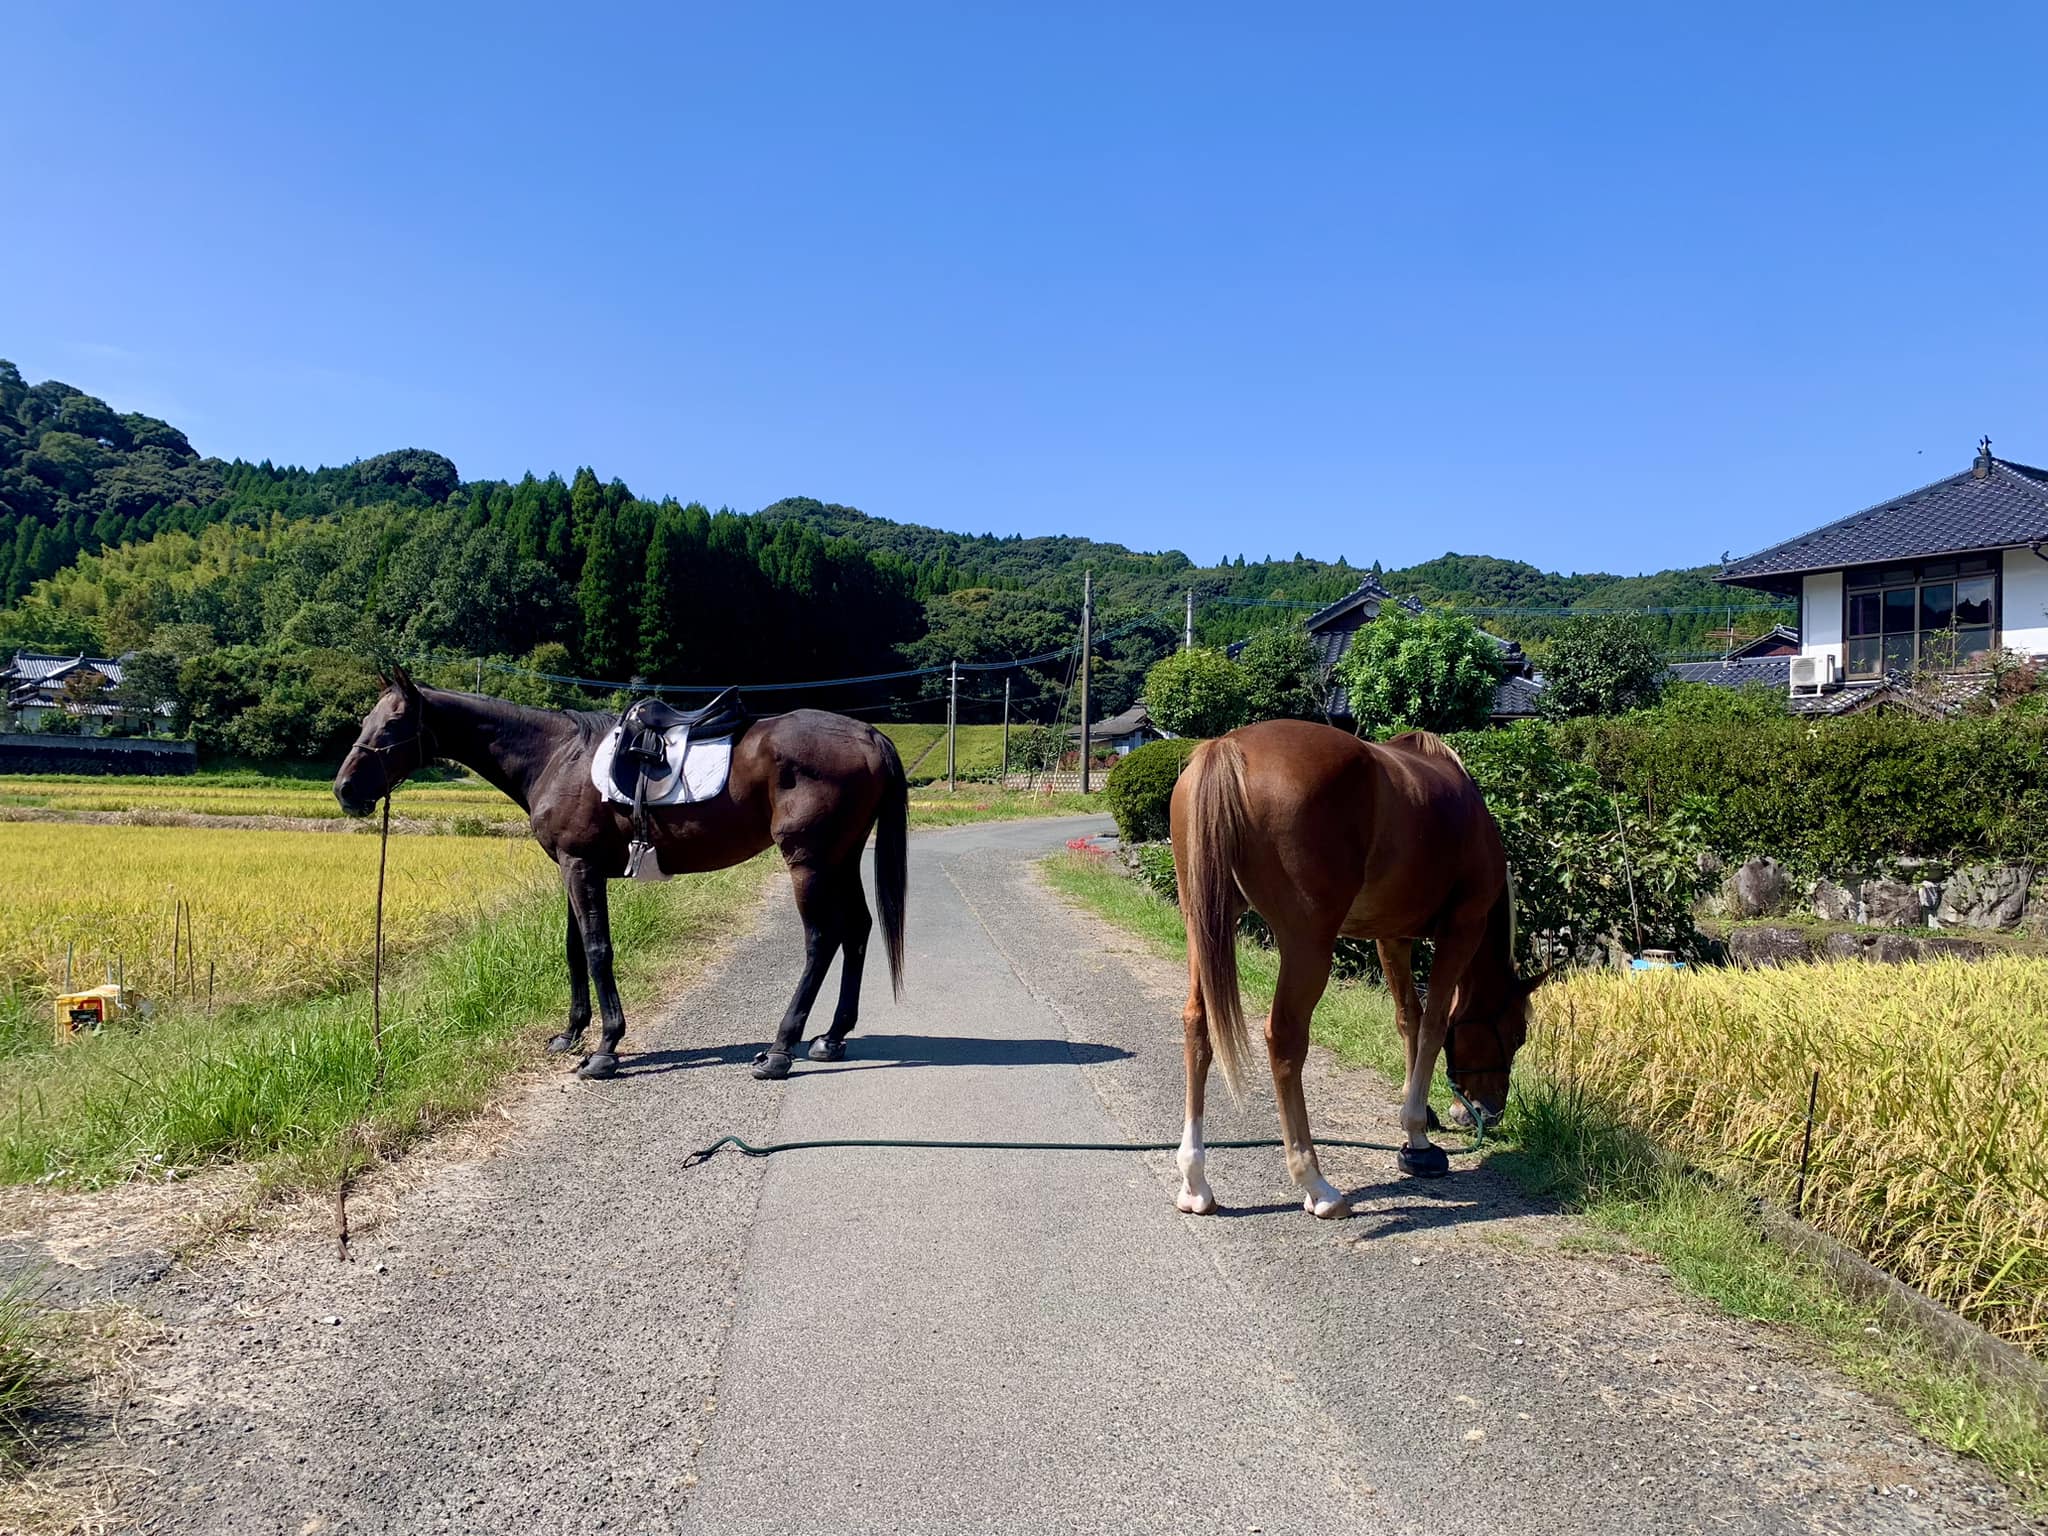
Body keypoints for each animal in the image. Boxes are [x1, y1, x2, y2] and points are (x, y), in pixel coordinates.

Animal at [332, 667, 907, 1082]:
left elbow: (596, 950)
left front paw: (606, 1048)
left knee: (821, 939)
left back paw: (780, 1050)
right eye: (365, 722)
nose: (344, 790)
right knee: (857, 930)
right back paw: (832, 1037)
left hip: (809, 861)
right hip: (842, 857)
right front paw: (570, 1034)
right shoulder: (572, 867)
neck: (556, 756)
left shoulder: (581, 866)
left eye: (391, 726)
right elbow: (572, 949)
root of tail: (869, 734)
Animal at [1168, 718, 1540, 1219]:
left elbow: (1408, 1018)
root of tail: (1227, 748)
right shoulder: (1462, 928)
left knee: (1197, 1025)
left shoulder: (1392, 936)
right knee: (1284, 1037)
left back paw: (1195, 1181)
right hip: (1307, 943)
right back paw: (1316, 1184)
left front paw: (1417, 1130)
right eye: (1517, 1035)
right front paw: (1418, 1131)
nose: (1487, 1111)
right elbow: (1434, 1024)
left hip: (1204, 924)